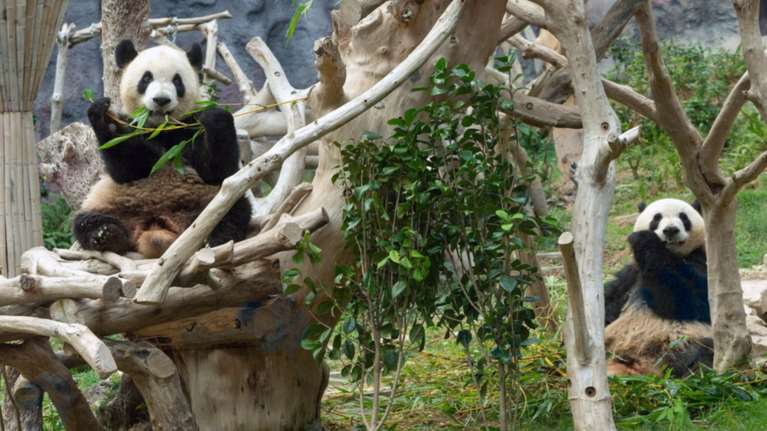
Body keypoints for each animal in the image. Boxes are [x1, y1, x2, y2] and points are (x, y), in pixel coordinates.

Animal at [73, 40, 252, 258]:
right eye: (146, 78)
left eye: (177, 81)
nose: (161, 100)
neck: (161, 127)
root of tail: (157, 224)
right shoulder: (135, 126)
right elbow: (129, 169)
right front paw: (108, 121)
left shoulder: (190, 127)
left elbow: (218, 172)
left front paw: (215, 116)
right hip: (109, 202)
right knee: (84, 221)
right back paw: (106, 234)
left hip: (206, 199)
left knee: (232, 211)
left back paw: (214, 239)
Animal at [603, 198, 712, 377]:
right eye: (657, 218)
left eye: (683, 217)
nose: (670, 230)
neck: (669, 254)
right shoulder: (632, 274)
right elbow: (611, 300)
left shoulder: (701, 261)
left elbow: (694, 300)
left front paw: (645, 240)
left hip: (687, 344)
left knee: (703, 356)